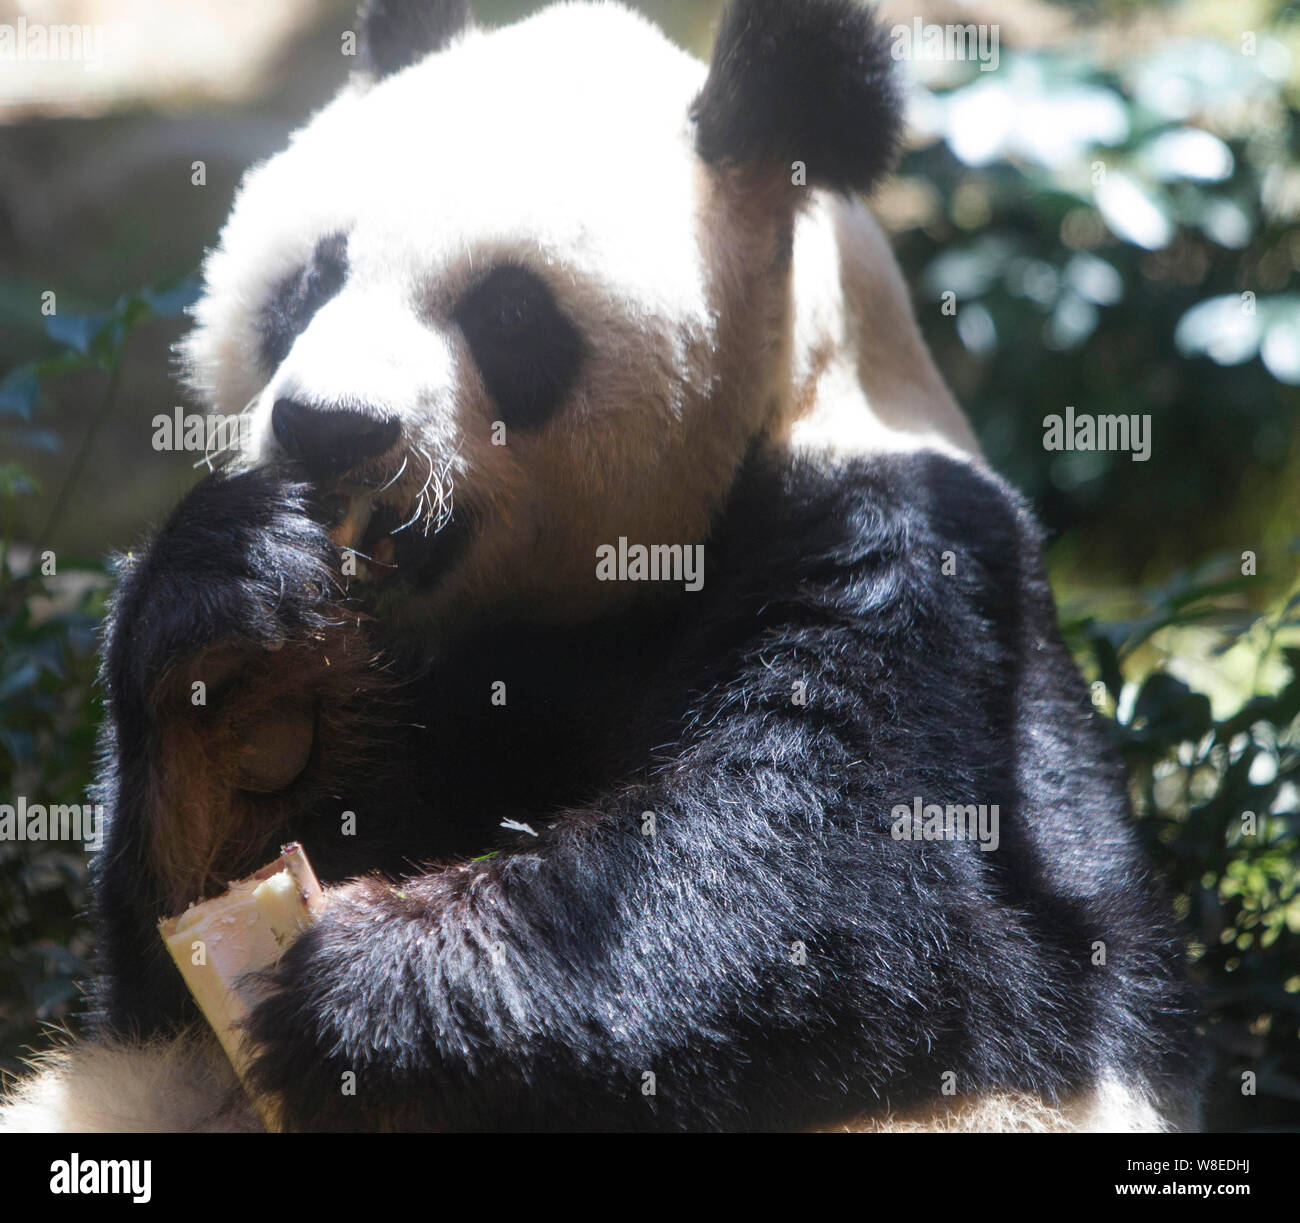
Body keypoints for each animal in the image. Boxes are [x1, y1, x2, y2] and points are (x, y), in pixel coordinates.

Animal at [1, 0, 1200, 1132]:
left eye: (507, 313)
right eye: (311, 277)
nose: (328, 427)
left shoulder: (910, 568)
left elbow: (863, 889)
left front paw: (385, 985)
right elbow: (171, 961)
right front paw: (245, 656)